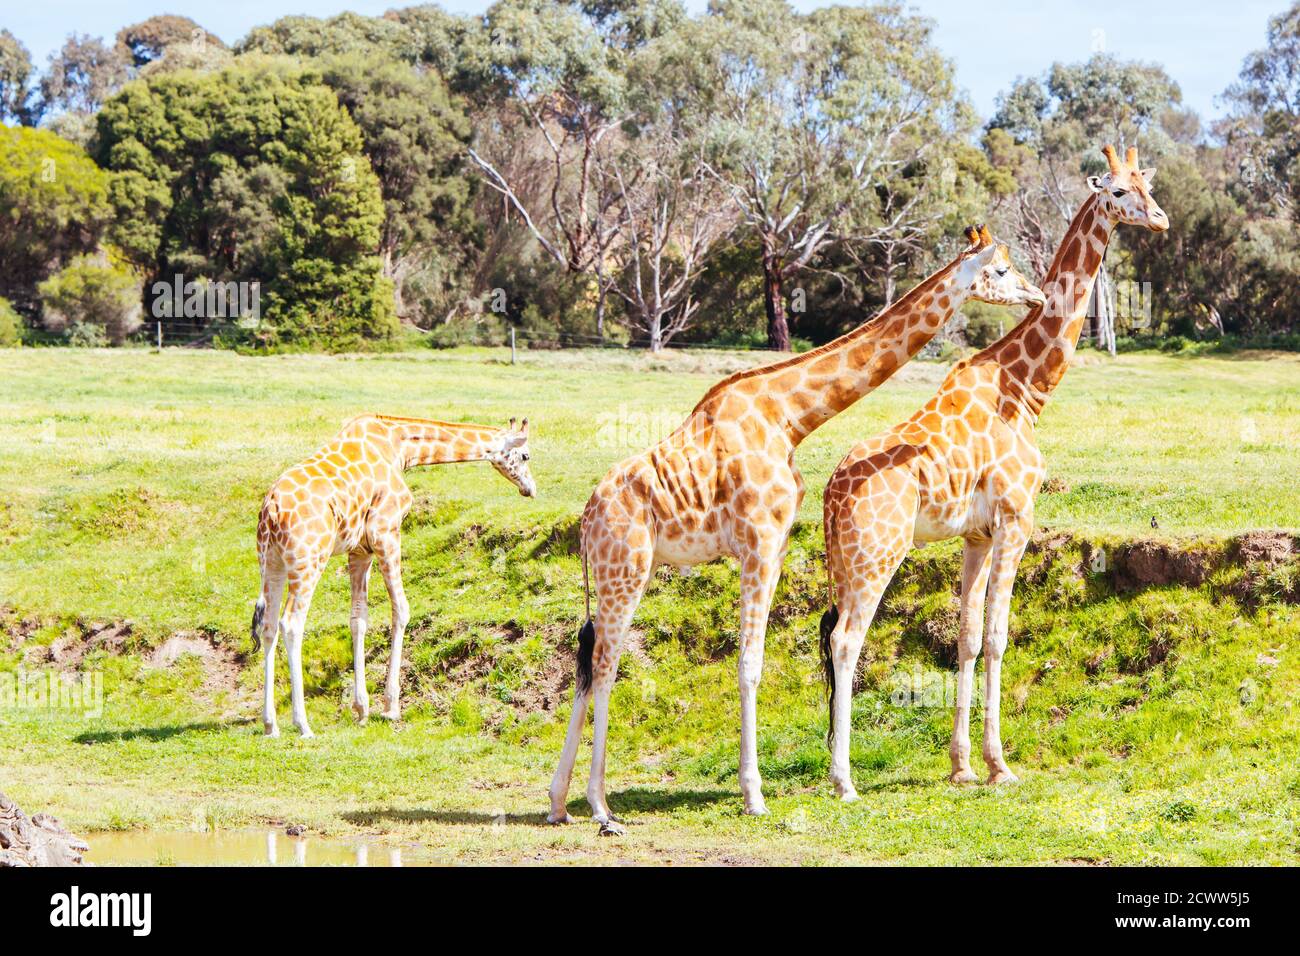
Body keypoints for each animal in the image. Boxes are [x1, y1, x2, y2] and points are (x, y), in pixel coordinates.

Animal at [250, 413, 535, 738]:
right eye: (525, 456)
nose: (531, 488)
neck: (399, 447)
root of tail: (271, 509)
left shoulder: (360, 550)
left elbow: (358, 619)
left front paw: (361, 709)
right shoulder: (386, 532)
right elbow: (401, 609)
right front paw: (390, 707)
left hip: (271, 563)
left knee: (269, 626)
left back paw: (270, 724)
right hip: (308, 560)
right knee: (291, 623)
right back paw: (303, 724)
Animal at [546, 221, 1045, 827]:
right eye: (1000, 270)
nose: (1037, 296)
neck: (791, 418)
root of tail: (584, 520)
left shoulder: (778, 544)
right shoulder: (758, 542)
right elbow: (750, 664)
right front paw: (755, 794)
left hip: (612, 575)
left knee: (588, 656)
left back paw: (559, 801)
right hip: (627, 569)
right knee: (606, 662)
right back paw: (599, 804)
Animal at [821, 143, 1170, 801]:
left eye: (1147, 185)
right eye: (1116, 192)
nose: (1160, 219)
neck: (1026, 390)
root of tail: (829, 496)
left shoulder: (977, 535)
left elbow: (964, 638)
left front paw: (961, 766)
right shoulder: (1016, 517)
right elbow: (999, 637)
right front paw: (1000, 764)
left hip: (844, 560)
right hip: (881, 554)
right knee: (846, 640)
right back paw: (843, 780)